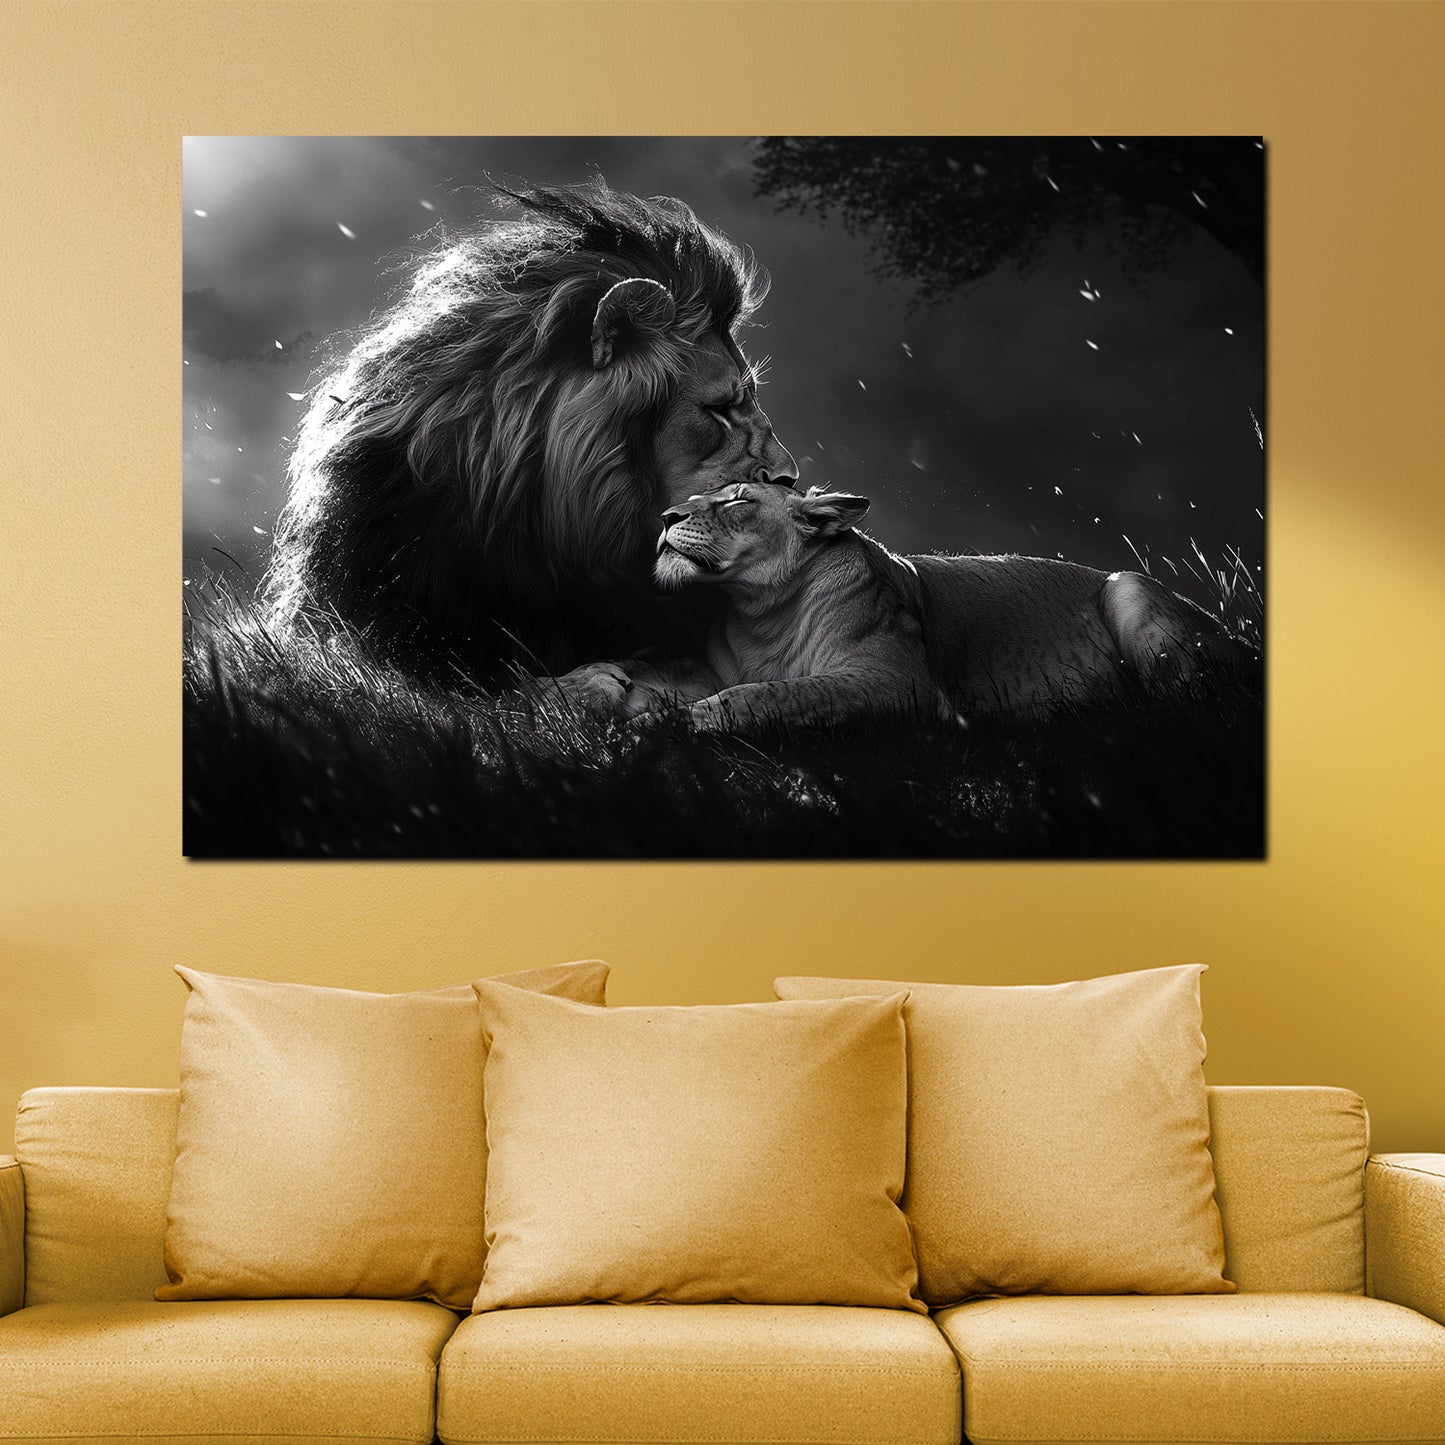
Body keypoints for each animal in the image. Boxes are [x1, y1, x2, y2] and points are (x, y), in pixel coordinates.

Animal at [553, 481, 1247, 731]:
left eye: (736, 500)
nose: (666, 516)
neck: (762, 617)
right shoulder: (710, 664)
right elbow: (651, 668)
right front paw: (582, 689)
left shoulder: (896, 682)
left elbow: (779, 694)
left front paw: (675, 723)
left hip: (1128, 586)